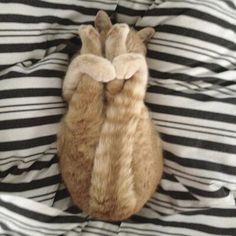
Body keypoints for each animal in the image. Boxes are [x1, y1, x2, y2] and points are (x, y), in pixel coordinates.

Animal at [57, 10, 163, 221]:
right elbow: (81, 60)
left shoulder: (74, 90)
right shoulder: (68, 90)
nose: (119, 58)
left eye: (131, 49)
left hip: (84, 105)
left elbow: (85, 60)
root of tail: (114, 208)